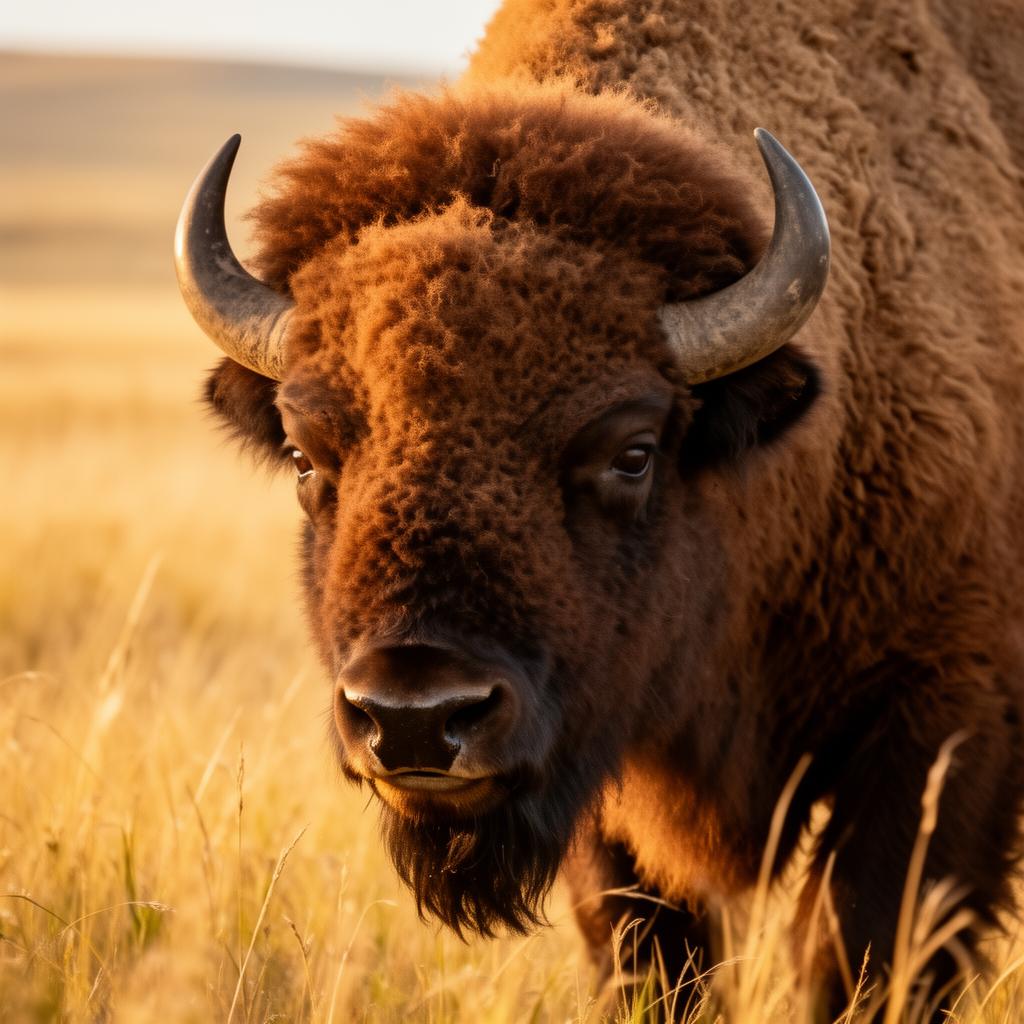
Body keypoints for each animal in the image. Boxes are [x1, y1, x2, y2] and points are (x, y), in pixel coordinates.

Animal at [175, 0, 1024, 1015]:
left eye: (632, 452)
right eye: (305, 456)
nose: (415, 714)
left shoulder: (942, 721)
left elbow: (862, 957)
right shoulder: (599, 781)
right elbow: (650, 958)